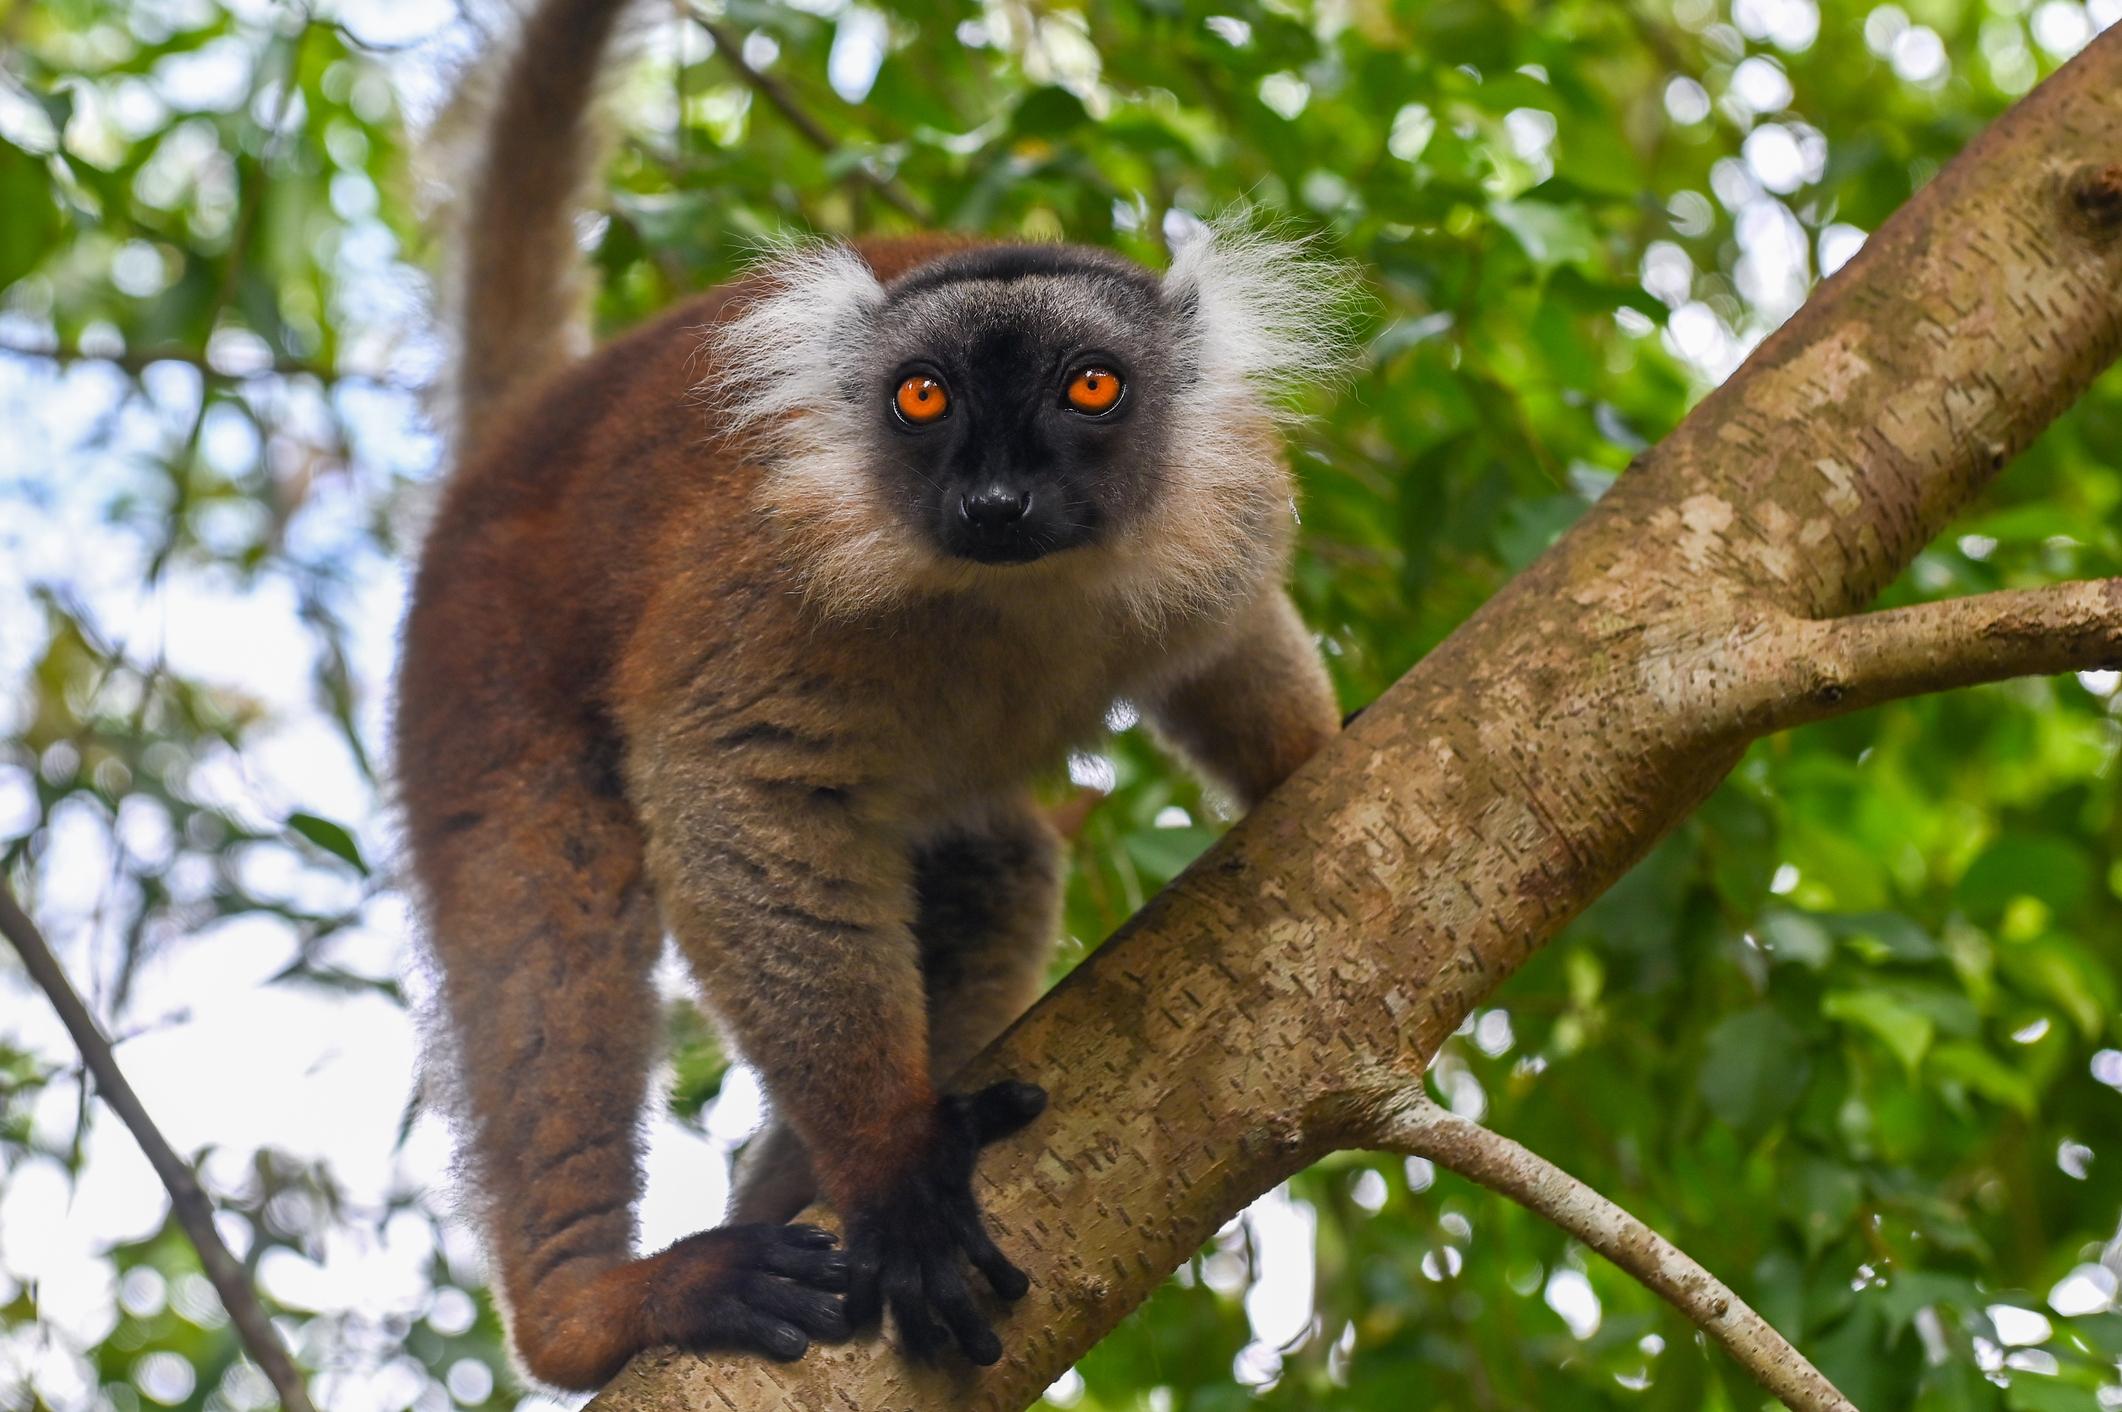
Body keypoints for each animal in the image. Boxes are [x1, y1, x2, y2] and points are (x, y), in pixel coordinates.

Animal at [394, 0, 1352, 1391]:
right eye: (923, 396)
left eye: (1091, 384)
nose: (996, 500)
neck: (1017, 588)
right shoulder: (771, 580)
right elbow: (734, 790)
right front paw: (895, 1170)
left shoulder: (1220, 516)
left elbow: (1230, 652)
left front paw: (1317, 757)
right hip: (477, 667)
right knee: (547, 908)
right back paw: (595, 1309)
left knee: (994, 869)